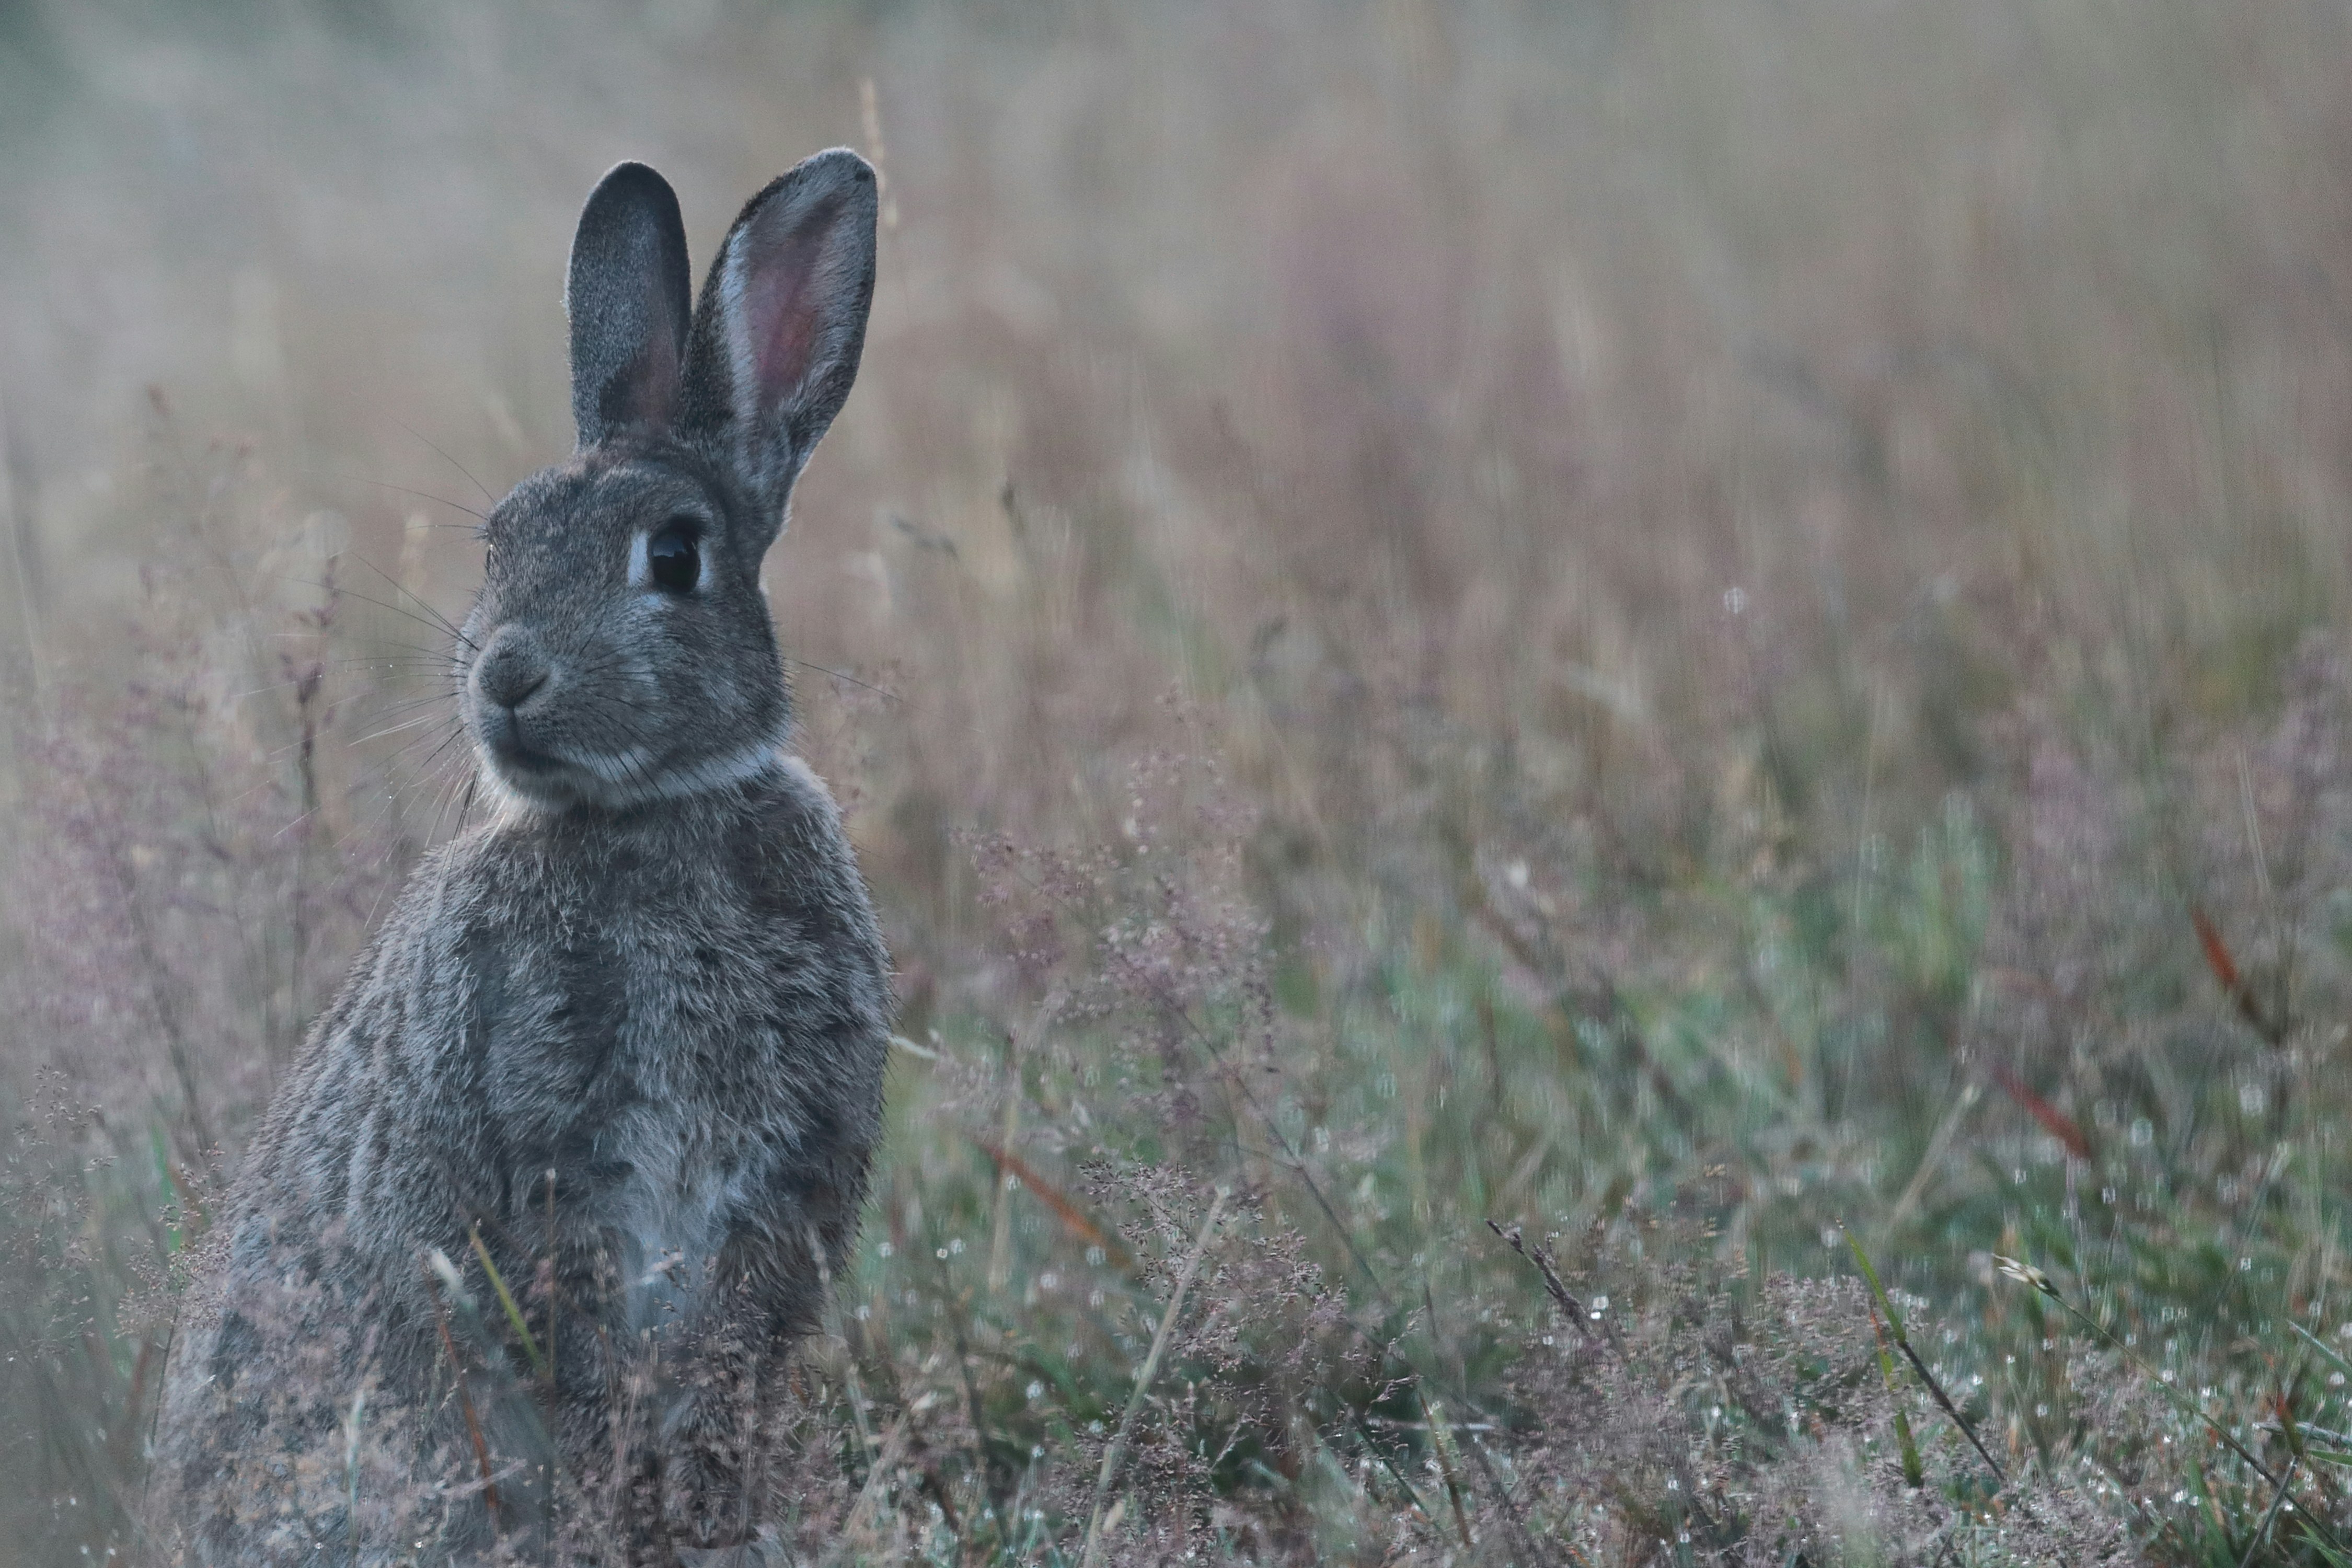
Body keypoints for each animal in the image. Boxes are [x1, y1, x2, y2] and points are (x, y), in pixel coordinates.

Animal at [149, 150, 892, 1567]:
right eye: (497, 540)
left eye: (675, 554)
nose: (504, 677)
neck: (653, 812)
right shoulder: (551, 1169)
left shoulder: (770, 1199)